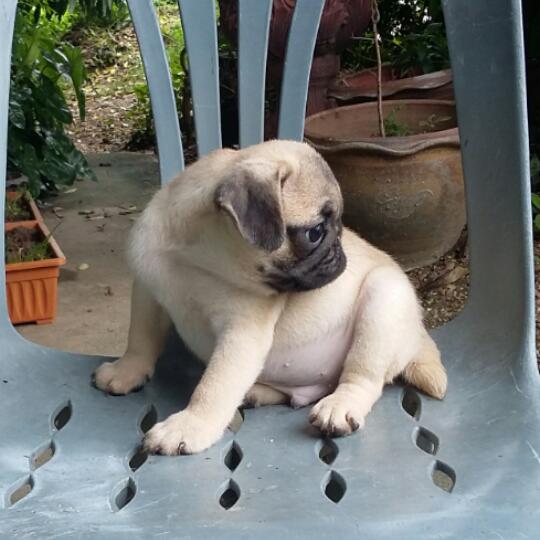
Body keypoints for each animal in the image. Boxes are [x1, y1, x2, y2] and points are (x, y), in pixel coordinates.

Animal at [93, 140, 447, 455]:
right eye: (316, 233)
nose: (340, 250)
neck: (195, 258)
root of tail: (418, 335)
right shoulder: (148, 293)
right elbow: (140, 339)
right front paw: (126, 372)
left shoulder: (241, 333)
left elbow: (215, 385)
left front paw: (189, 426)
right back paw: (256, 393)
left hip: (384, 299)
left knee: (363, 378)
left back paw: (340, 406)